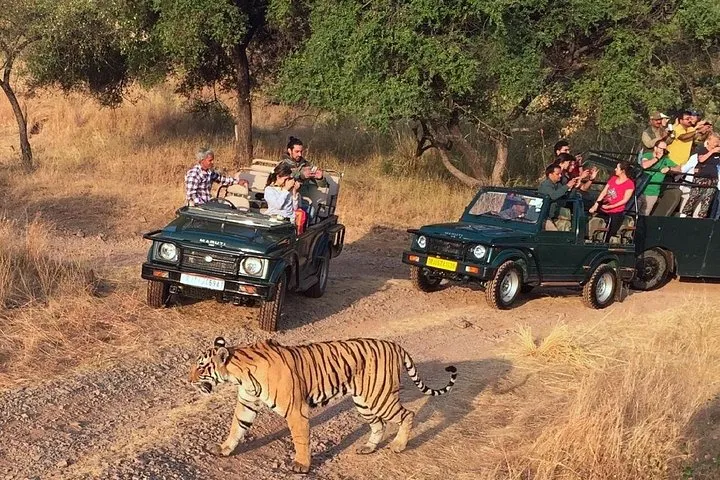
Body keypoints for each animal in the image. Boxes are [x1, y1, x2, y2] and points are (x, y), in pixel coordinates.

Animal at [189, 336, 457, 473]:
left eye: (201, 367)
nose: (189, 379)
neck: (240, 374)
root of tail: (395, 345)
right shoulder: (247, 403)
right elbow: (237, 428)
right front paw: (224, 449)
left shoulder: (295, 411)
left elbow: (300, 439)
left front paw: (301, 465)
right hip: (364, 402)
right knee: (379, 425)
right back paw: (369, 448)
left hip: (380, 398)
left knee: (407, 414)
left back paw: (399, 446)